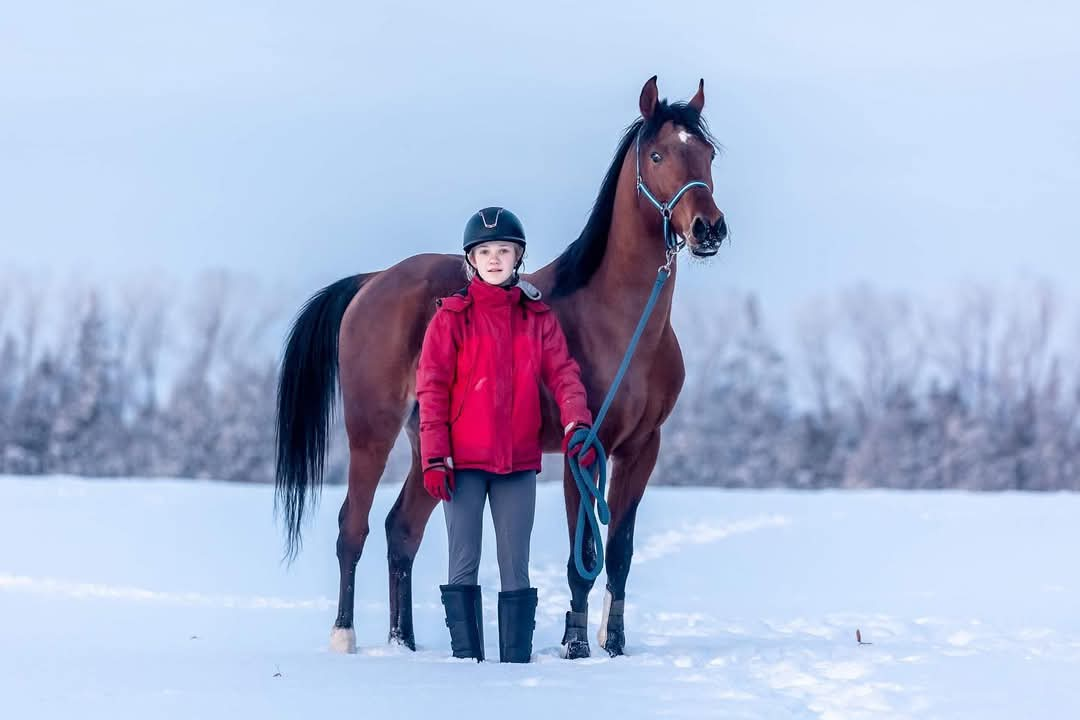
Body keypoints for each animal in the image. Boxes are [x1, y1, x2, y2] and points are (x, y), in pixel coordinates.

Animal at [274, 77, 730, 660]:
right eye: (657, 155)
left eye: (708, 153)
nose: (708, 229)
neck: (621, 320)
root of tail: (372, 282)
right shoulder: (586, 449)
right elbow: (583, 557)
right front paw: (575, 646)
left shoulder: (641, 449)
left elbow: (620, 553)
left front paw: (615, 646)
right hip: (370, 431)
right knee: (351, 527)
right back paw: (344, 638)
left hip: (430, 448)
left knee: (402, 531)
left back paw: (405, 644)